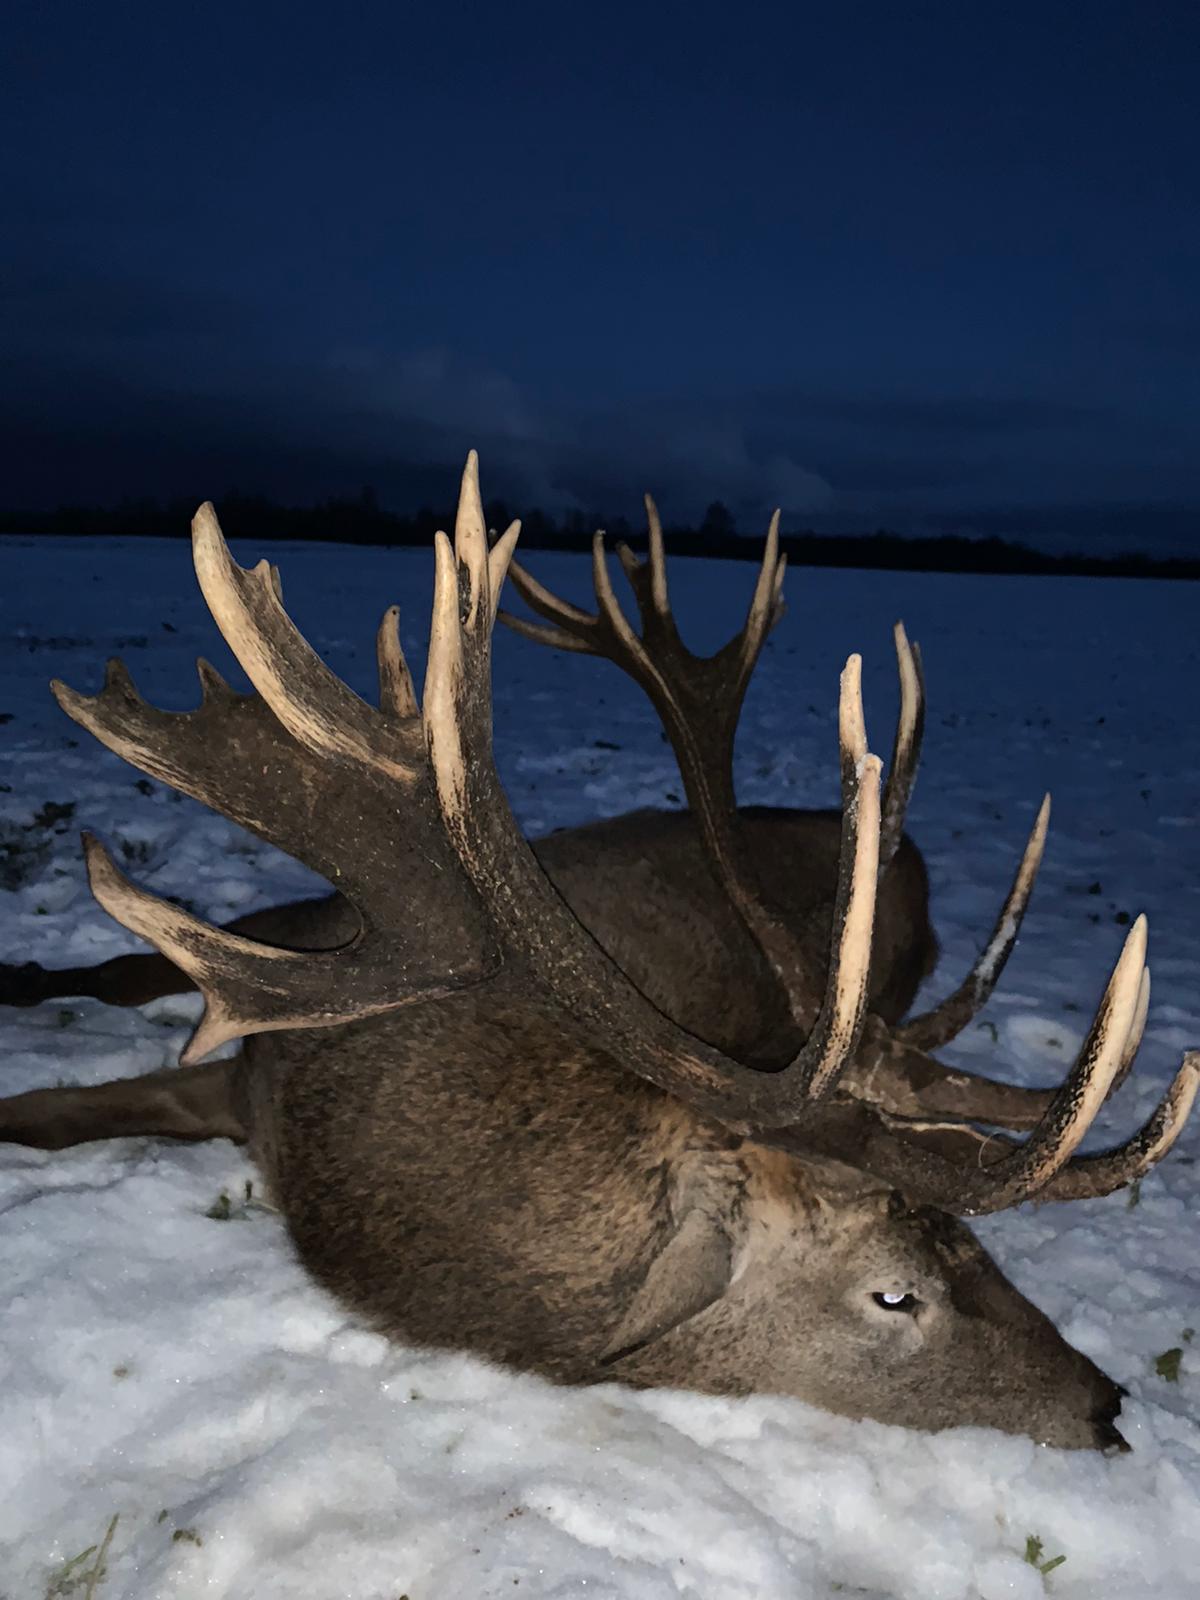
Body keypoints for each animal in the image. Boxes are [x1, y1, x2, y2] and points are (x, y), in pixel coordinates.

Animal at [1, 453, 1196, 1454]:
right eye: (894, 1291)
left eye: (969, 1239)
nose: (1107, 1402)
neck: (344, 1146)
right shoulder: (284, 994)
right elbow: (68, 1077)